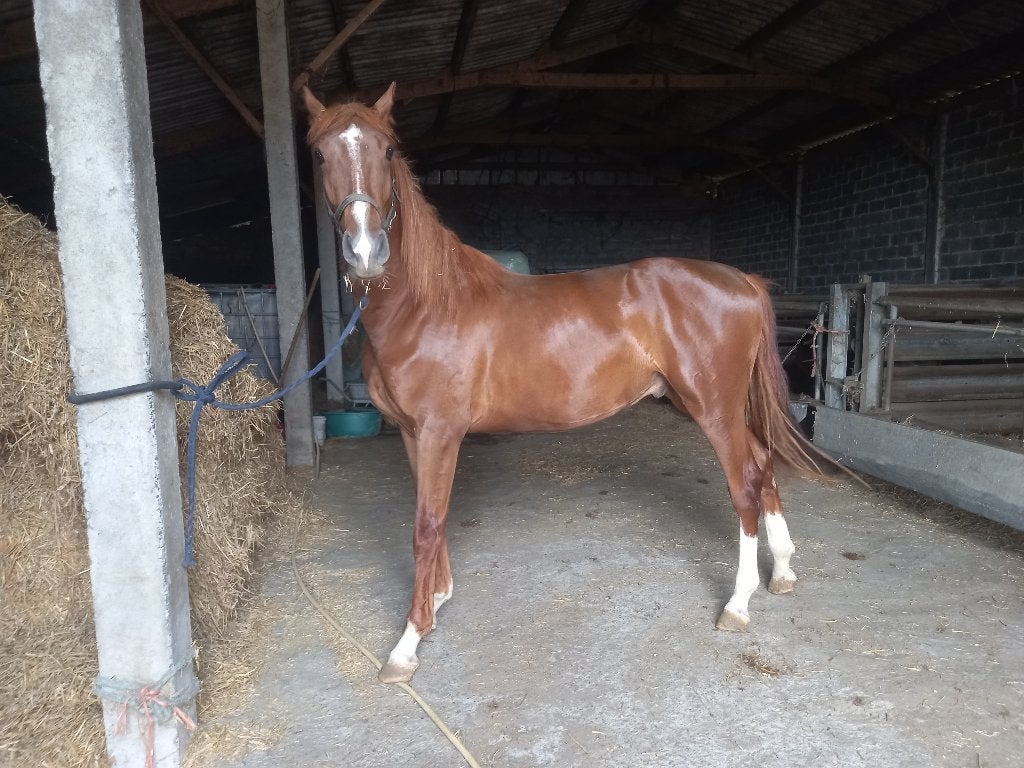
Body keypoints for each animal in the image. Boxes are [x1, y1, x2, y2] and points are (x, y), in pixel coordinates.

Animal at [301, 83, 826, 684]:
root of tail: (741, 279)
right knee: (763, 464)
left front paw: (408, 643)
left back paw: (738, 604)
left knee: (743, 482)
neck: (428, 304)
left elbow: (426, 526)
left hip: (712, 406)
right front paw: (437, 600)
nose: (366, 252)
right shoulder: (415, 434)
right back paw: (782, 571)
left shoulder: (438, 432)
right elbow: (433, 517)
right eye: (320, 155)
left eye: (387, 150)